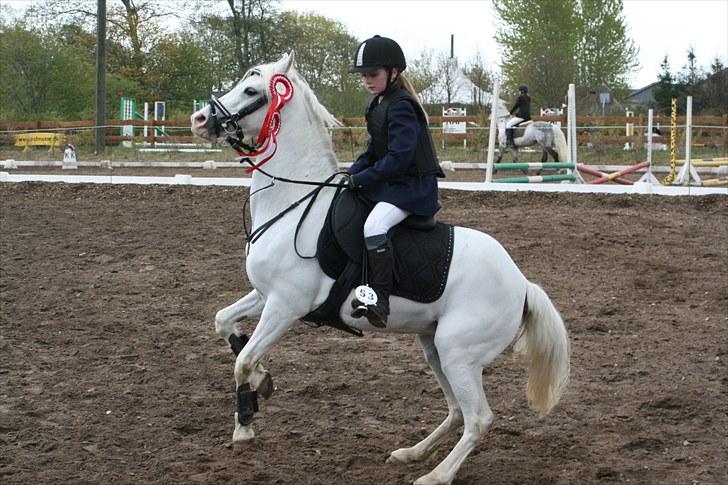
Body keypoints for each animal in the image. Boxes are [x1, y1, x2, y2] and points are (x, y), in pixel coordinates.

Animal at [190, 52, 570, 485]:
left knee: (478, 418)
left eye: (251, 90)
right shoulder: (265, 294)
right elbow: (224, 323)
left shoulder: (285, 306)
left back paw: (436, 475)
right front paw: (262, 383)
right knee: (457, 411)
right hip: (435, 348)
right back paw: (412, 453)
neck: (294, 202)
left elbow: (243, 362)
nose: (200, 120)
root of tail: (521, 283)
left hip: (459, 354)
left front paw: (245, 426)